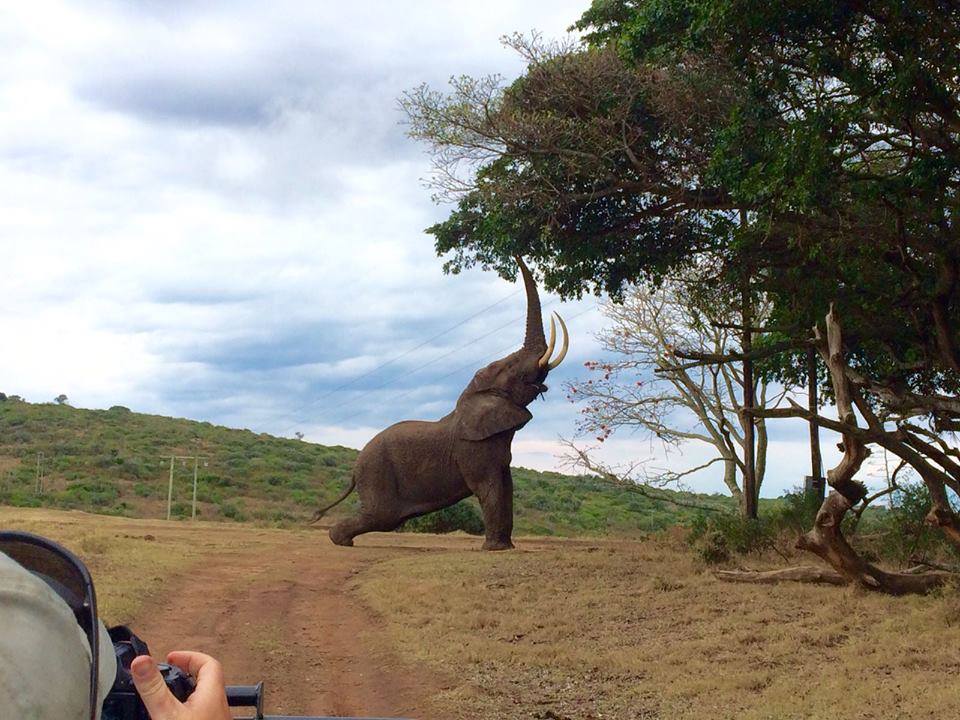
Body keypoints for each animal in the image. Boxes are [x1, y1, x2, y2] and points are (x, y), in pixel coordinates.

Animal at [314, 258, 568, 552]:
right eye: (510, 368)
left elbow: (506, 488)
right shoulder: (472, 449)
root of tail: (355, 470)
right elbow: (489, 488)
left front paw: (505, 548)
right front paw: (495, 549)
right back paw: (340, 540)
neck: (470, 397)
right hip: (377, 473)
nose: (516, 253)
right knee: (381, 516)